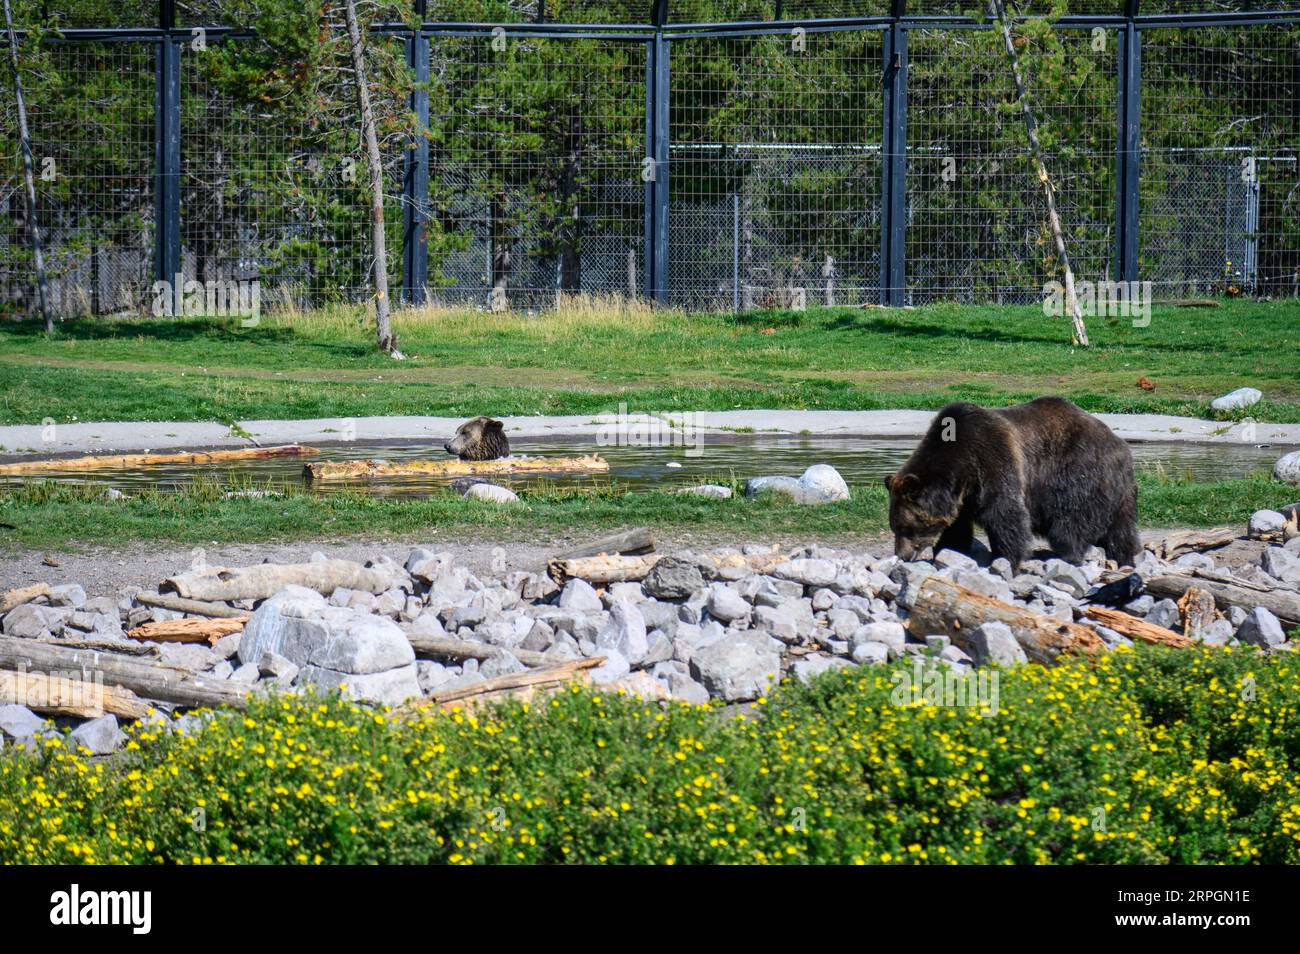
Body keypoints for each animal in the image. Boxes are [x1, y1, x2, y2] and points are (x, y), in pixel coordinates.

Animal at [883, 400, 1138, 571]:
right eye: (895, 527)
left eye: (906, 527)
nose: (902, 555)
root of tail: (1119, 444)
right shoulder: (962, 499)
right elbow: (957, 529)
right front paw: (950, 551)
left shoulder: (992, 462)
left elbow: (1005, 515)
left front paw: (1008, 559)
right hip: (1118, 492)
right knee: (1121, 530)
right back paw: (1125, 558)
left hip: (1077, 474)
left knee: (1070, 524)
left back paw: (1068, 555)